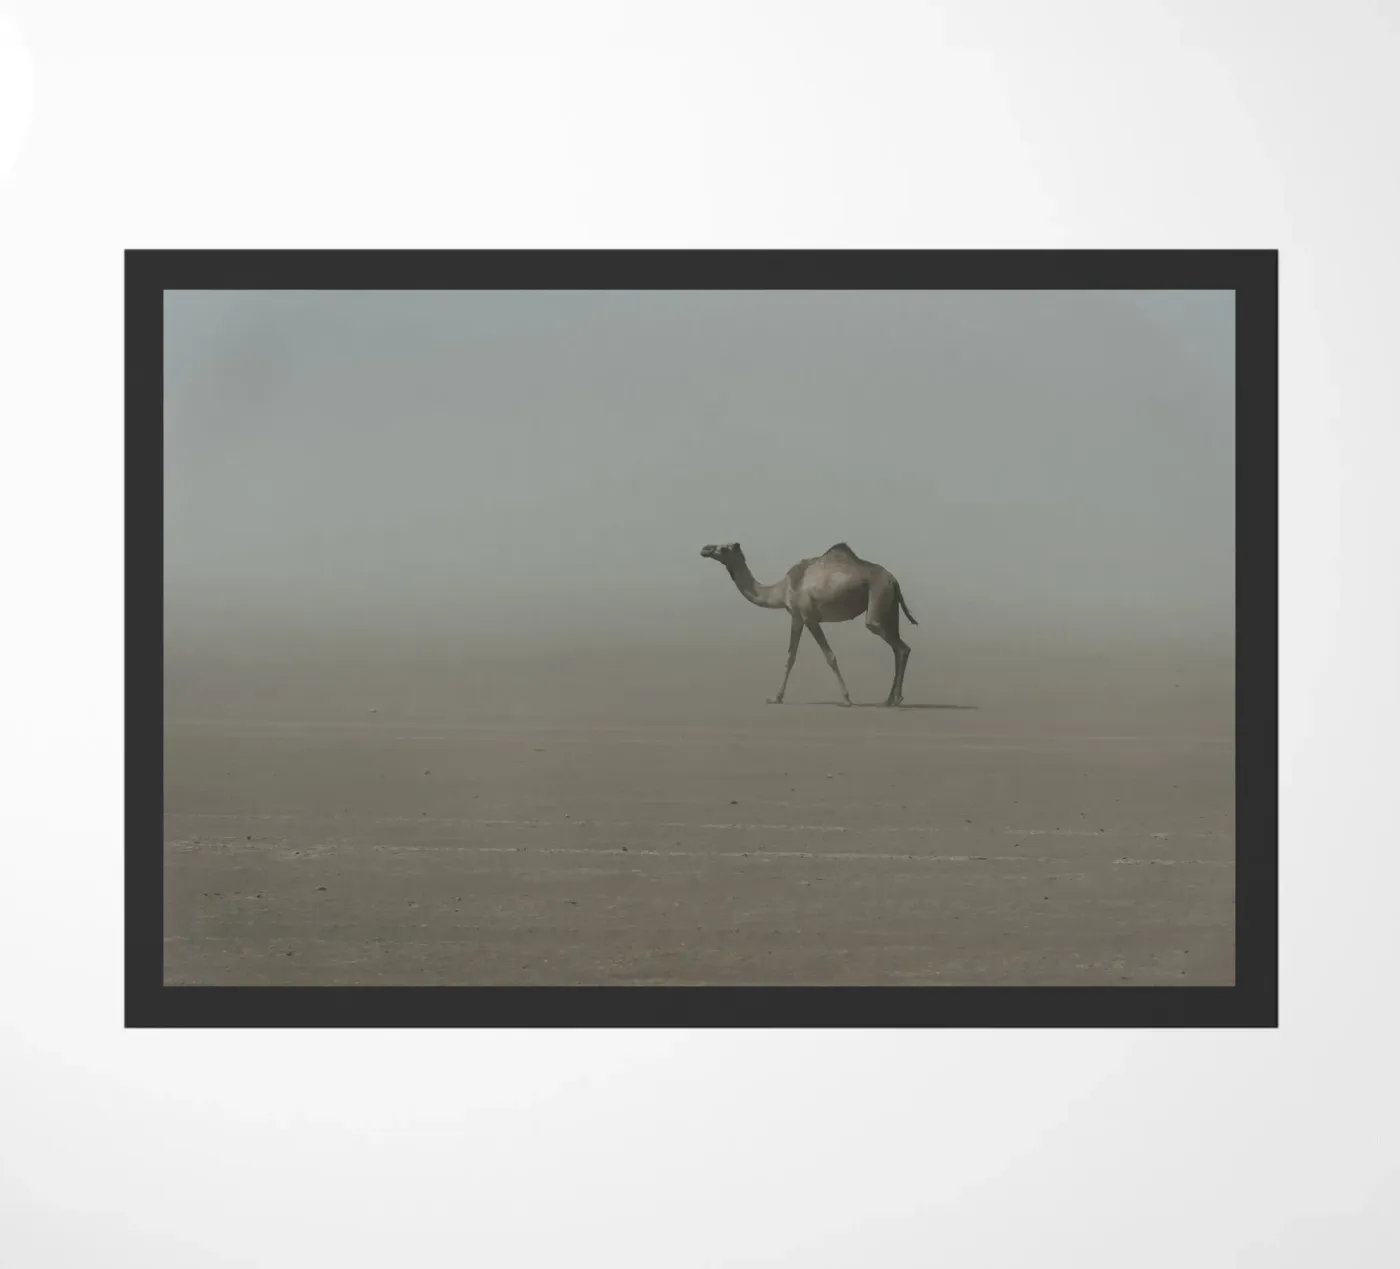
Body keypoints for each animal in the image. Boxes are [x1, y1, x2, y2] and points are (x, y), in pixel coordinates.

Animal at [699, 541, 918, 707]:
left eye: (725, 548)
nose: (705, 549)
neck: (781, 589)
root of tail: (894, 581)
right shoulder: (796, 617)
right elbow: (791, 657)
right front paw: (776, 698)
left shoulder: (808, 616)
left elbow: (829, 656)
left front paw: (847, 699)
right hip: (890, 607)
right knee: (897, 648)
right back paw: (889, 699)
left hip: (878, 599)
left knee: (900, 646)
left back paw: (896, 698)